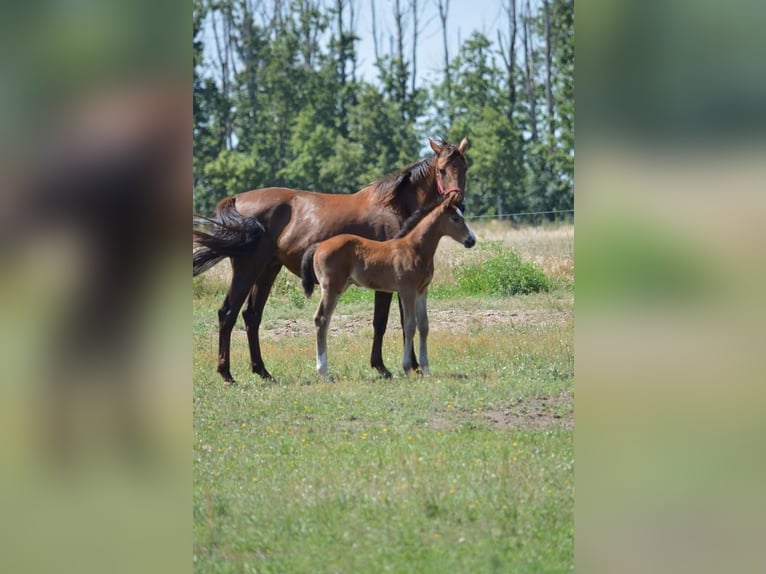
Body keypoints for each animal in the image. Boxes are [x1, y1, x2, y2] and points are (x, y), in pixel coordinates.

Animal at [300, 192, 476, 379]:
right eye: (456, 218)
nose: (471, 240)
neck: (414, 249)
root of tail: (320, 245)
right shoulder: (407, 290)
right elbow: (409, 325)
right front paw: (407, 367)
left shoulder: (422, 291)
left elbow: (424, 325)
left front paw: (426, 369)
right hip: (332, 287)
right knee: (321, 319)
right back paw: (323, 373)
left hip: (340, 287)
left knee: (324, 320)